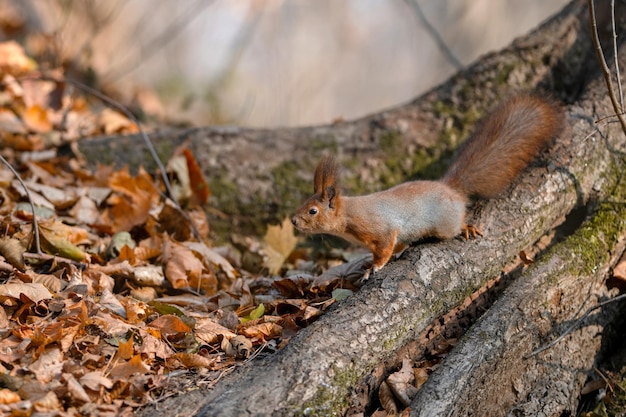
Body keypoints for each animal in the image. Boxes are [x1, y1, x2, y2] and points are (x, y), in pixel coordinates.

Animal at [292, 95, 560, 276]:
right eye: (304, 203)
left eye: (313, 211)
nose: (293, 221)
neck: (348, 216)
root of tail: (452, 189)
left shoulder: (380, 228)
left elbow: (385, 249)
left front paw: (374, 267)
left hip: (445, 224)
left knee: (455, 226)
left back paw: (466, 228)